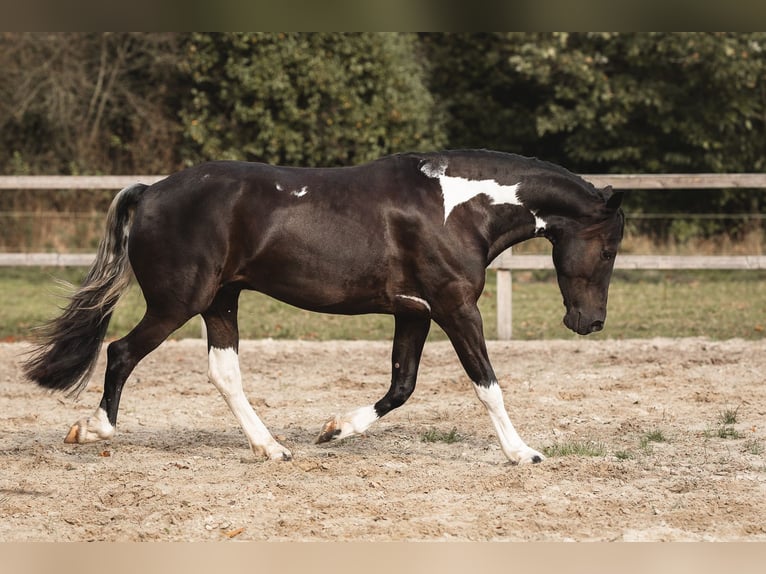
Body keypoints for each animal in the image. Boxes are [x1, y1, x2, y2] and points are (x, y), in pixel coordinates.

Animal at [24, 151, 628, 466]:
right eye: (608, 249)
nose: (589, 322)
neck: (457, 208)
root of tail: (150, 192)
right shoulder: (455, 308)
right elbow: (487, 385)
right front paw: (523, 453)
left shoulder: (415, 312)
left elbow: (401, 386)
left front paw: (334, 429)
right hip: (179, 302)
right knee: (121, 352)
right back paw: (91, 430)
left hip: (221, 302)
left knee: (224, 373)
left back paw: (273, 448)